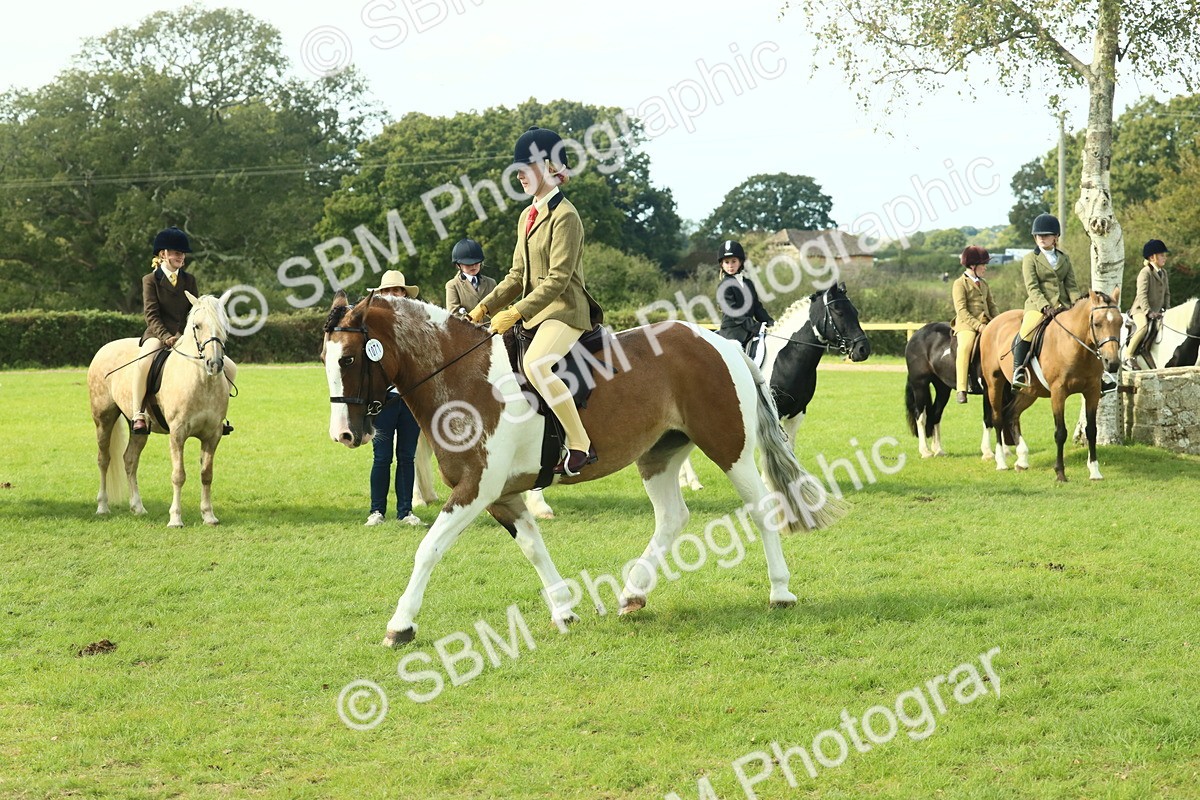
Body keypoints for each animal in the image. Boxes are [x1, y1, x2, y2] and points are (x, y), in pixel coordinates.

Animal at [87, 292, 233, 526]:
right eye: (197, 326)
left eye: (224, 325)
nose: (215, 364)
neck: (202, 382)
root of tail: (104, 348)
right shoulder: (178, 433)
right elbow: (178, 475)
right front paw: (175, 519)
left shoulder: (213, 435)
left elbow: (206, 474)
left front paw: (209, 515)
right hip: (103, 419)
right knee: (104, 459)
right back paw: (102, 506)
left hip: (138, 428)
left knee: (130, 460)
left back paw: (138, 507)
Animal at [322, 292, 844, 646]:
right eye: (325, 357)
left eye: (348, 358)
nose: (345, 435)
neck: (462, 376)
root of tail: (718, 342)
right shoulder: (503, 495)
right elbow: (533, 547)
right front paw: (564, 610)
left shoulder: (476, 489)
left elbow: (428, 549)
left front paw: (401, 625)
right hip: (658, 454)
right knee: (672, 518)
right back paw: (632, 594)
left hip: (728, 446)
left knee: (761, 509)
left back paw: (780, 592)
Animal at [904, 322, 995, 460]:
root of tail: (917, 334)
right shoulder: (988, 391)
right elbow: (989, 419)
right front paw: (988, 453)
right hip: (920, 386)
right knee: (921, 417)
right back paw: (925, 451)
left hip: (943, 389)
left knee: (935, 415)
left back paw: (938, 450)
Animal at [978, 290, 1122, 482]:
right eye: (1097, 324)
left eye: (1120, 323)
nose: (1112, 363)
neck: (1074, 345)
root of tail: (992, 323)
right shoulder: (1058, 393)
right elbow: (1060, 433)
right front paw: (1060, 473)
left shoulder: (1092, 391)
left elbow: (1092, 430)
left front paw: (1094, 471)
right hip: (995, 383)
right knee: (998, 418)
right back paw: (1001, 462)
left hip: (1028, 391)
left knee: (1011, 414)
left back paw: (1022, 460)